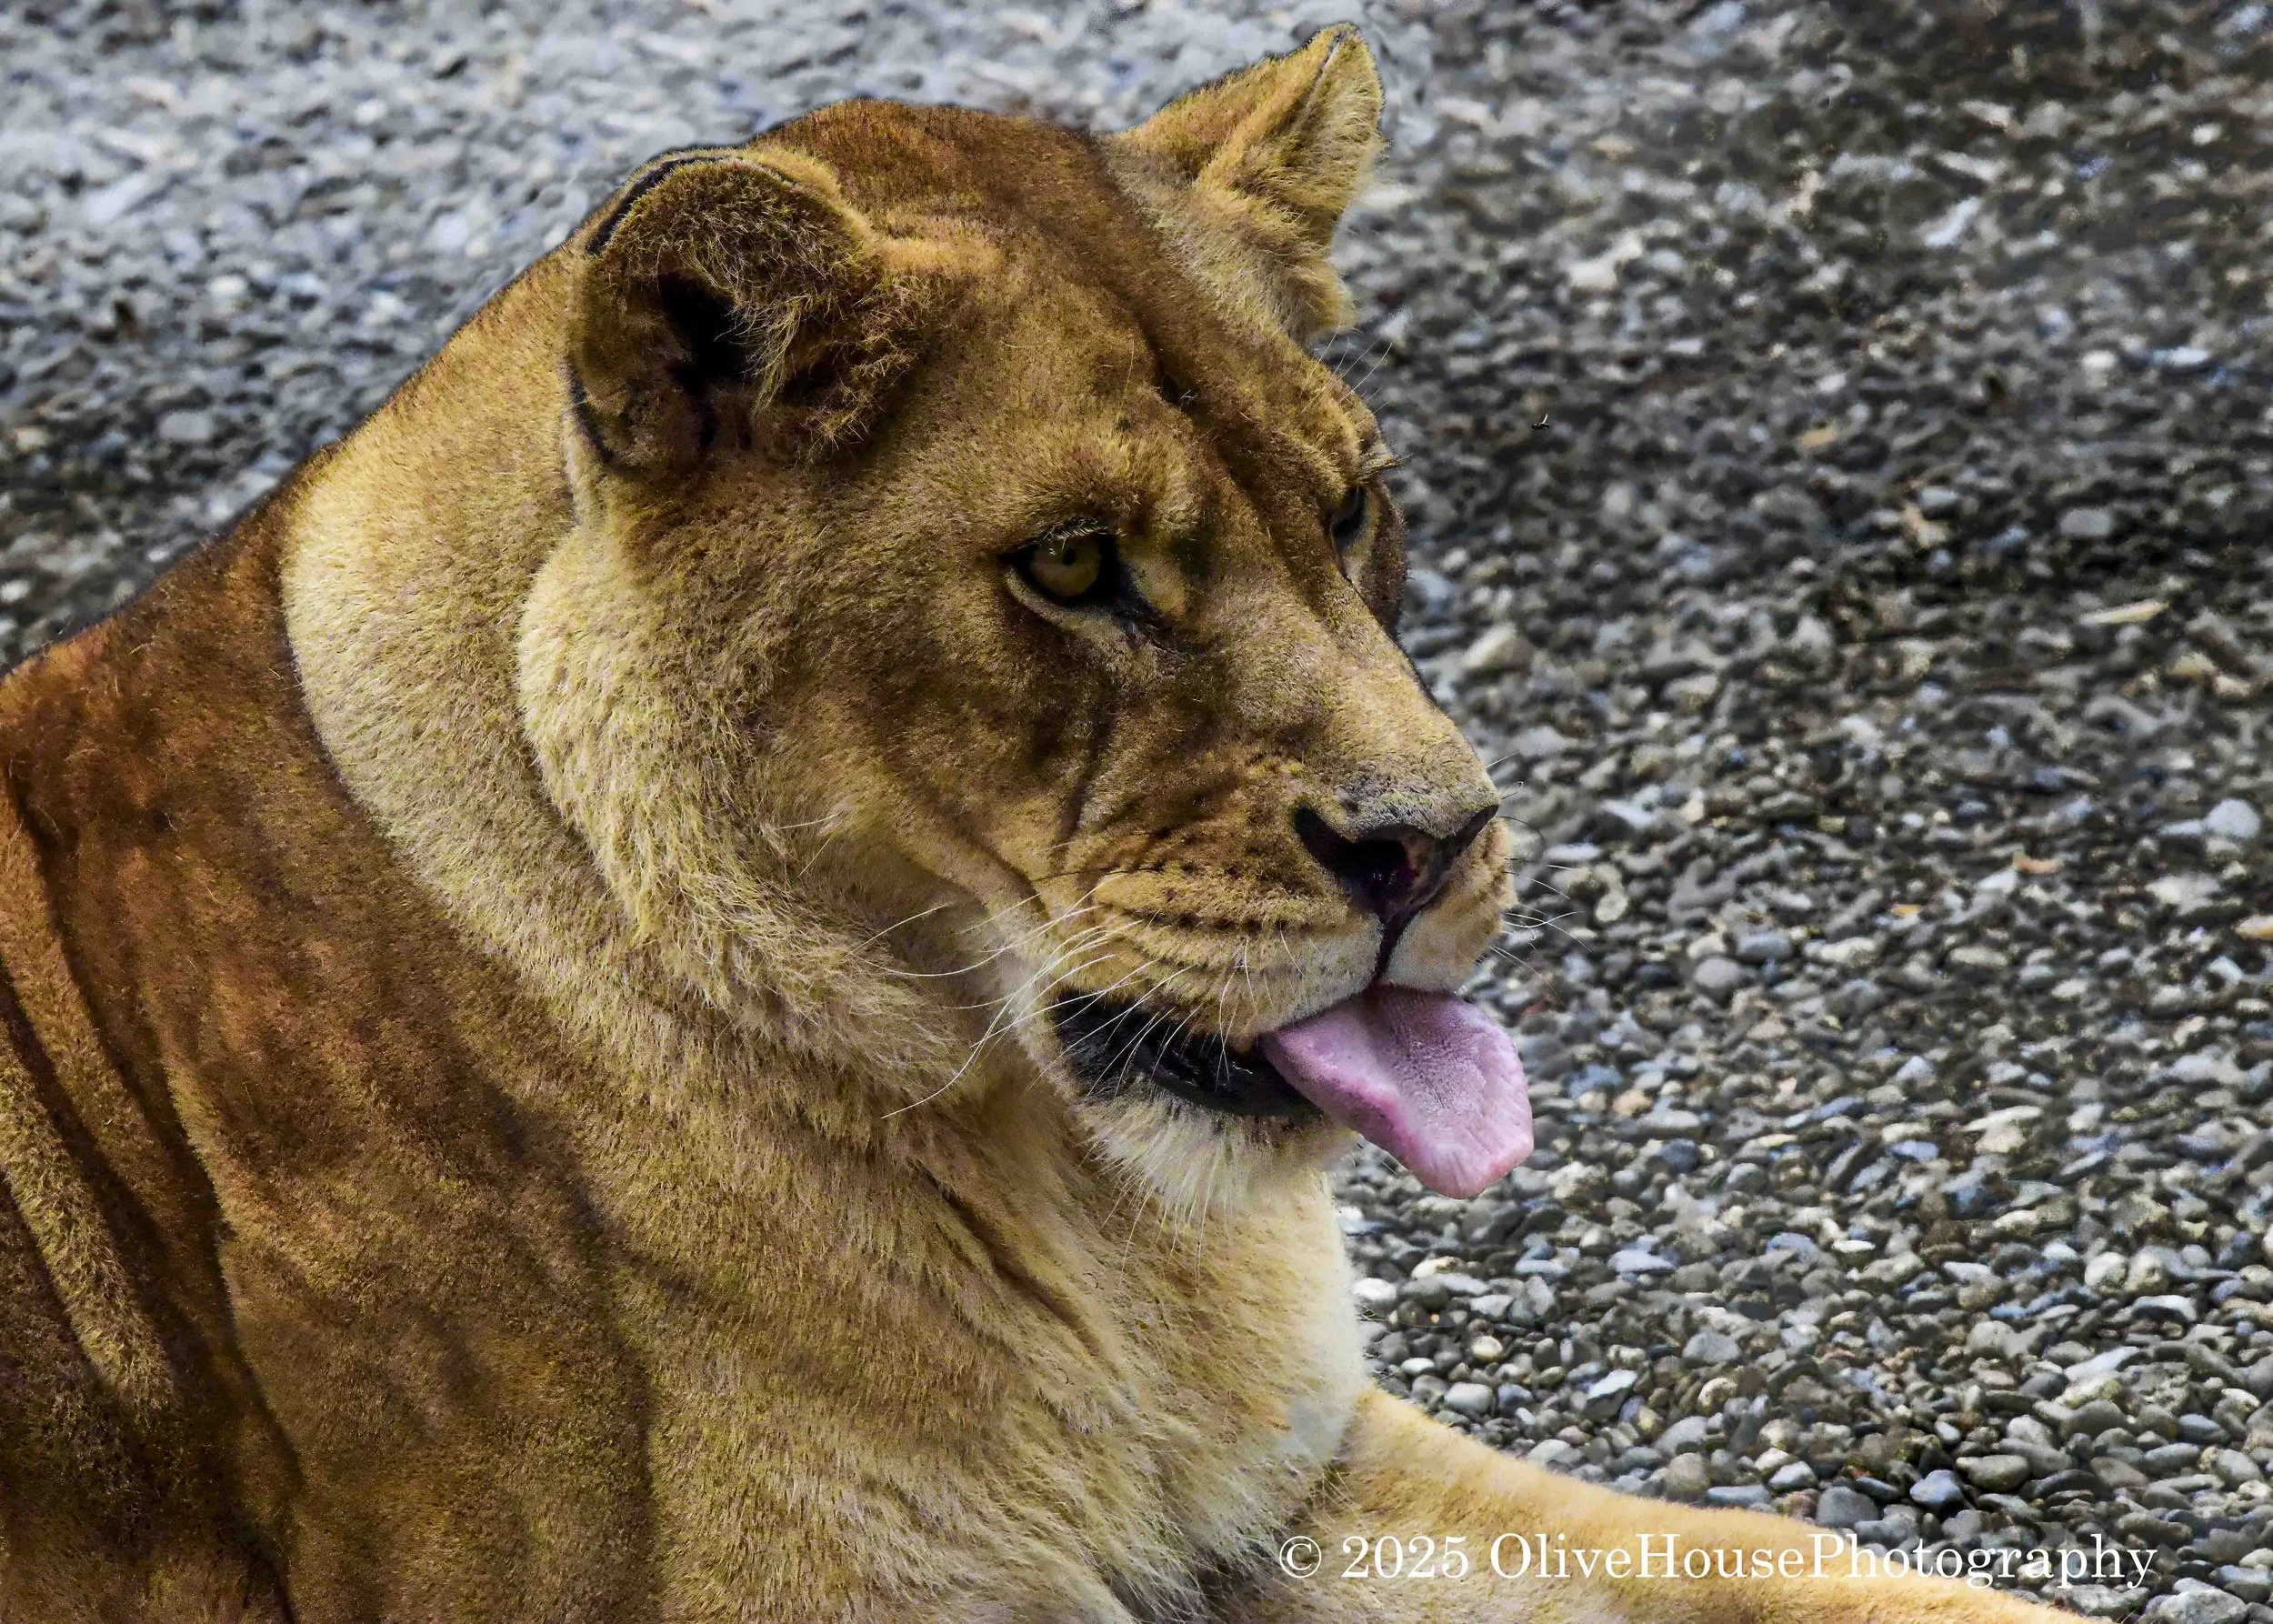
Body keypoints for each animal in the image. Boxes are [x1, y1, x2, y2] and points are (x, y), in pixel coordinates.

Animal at [0, 25, 2075, 1623]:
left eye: (1350, 509)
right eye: (1074, 567)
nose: (1436, 843)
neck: (1087, 1218)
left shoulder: (1290, 1474)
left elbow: (1782, 1556)